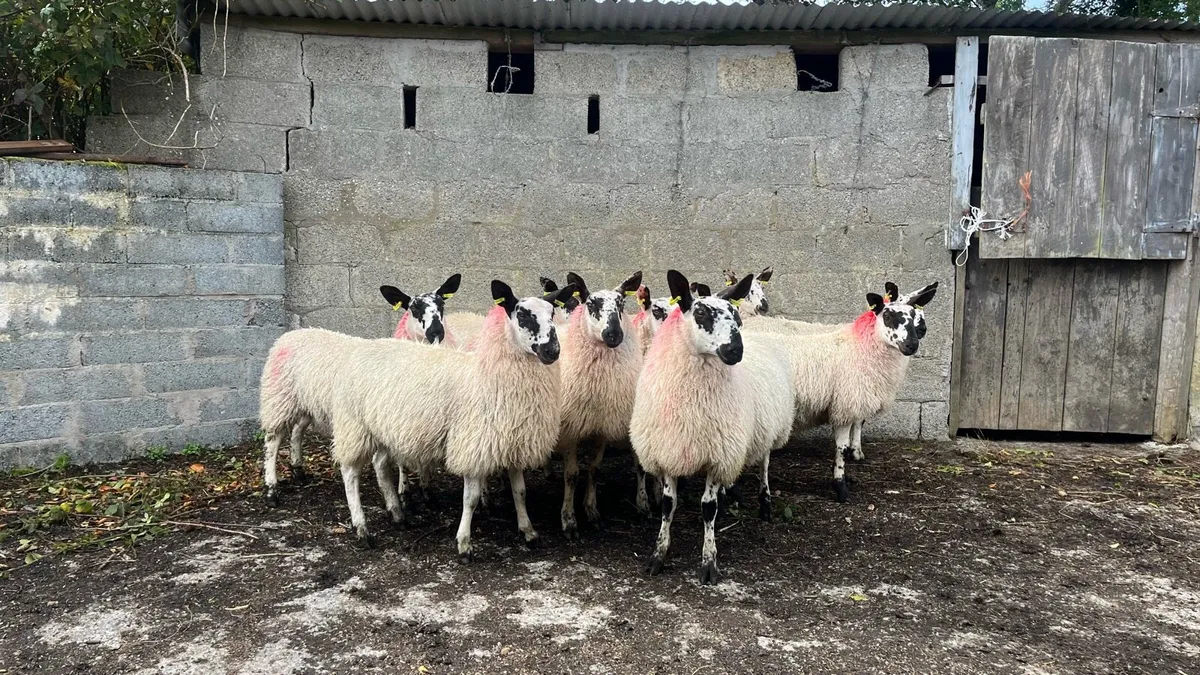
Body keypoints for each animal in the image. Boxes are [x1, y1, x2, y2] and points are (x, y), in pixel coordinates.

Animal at [260, 276, 461, 507]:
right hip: (278, 396)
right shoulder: (396, 418)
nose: (436, 332)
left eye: (442, 304)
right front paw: (405, 494)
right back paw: (272, 489)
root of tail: (291, 334)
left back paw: (298, 470)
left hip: (306, 400)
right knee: (273, 440)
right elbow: (402, 462)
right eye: (414, 308)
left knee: (297, 431)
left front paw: (427, 491)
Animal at [552, 271, 644, 538]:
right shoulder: (570, 428)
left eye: (622, 303)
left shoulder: (602, 426)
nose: (614, 335)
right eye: (591, 303)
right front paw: (569, 520)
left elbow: (595, 469)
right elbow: (572, 475)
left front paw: (592, 511)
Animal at [631, 271, 795, 584]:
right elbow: (668, 506)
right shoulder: (670, 450)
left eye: (735, 316)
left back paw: (765, 502)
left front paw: (709, 563)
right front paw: (658, 555)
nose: (735, 350)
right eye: (701, 313)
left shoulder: (718, 456)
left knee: (764, 463)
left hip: (766, 430)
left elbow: (708, 509)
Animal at [745, 282, 938, 503]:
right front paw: (841, 485)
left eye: (915, 313)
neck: (861, 347)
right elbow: (841, 447)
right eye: (888, 316)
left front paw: (853, 458)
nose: (913, 343)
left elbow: (857, 426)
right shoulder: (846, 403)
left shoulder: (854, 399)